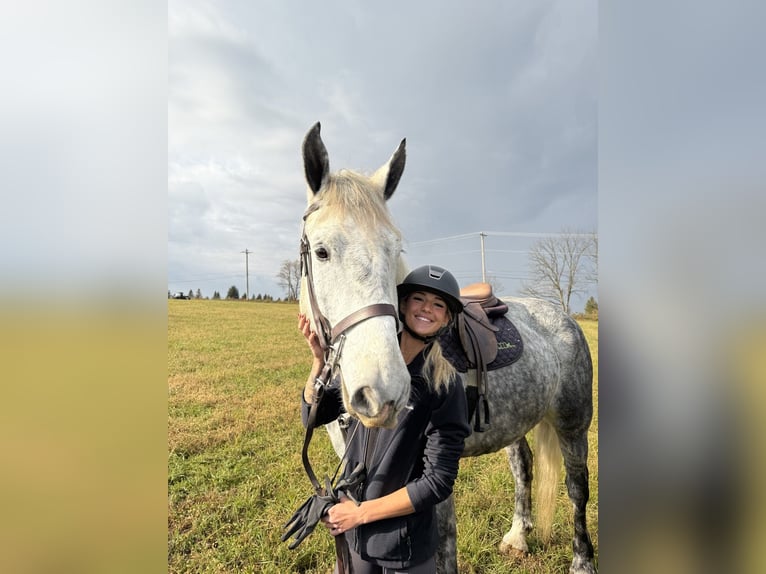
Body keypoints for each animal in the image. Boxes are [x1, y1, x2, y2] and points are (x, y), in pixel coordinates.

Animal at [298, 122, 596, 574]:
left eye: (395, 251)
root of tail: (559, 314)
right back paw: (518, 537)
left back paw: (582, 560)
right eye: (321, 251)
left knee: (577, 487)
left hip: (573, 424)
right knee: (523, 468)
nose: (383, 393)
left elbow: (444, 549)